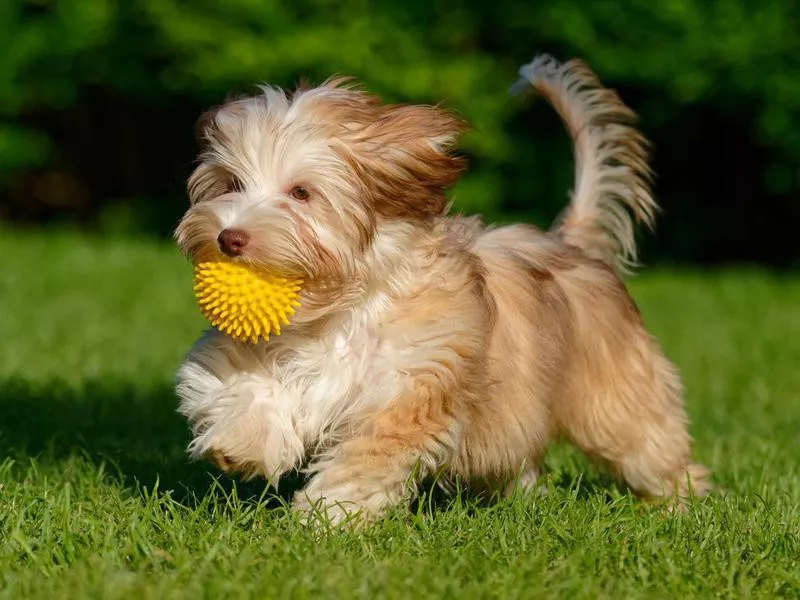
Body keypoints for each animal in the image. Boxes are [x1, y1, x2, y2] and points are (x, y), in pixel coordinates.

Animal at [172, 56, 708, 524]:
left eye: (301, 193)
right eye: (231, 184)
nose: (229, 237)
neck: (338, 309)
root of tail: (570, 244)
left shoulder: (411, 383)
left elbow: (367, 457)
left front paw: (328, 517)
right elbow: (238, 382)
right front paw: (241, 442)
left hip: (615, 394)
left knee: (648, 444)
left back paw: (680, 505)